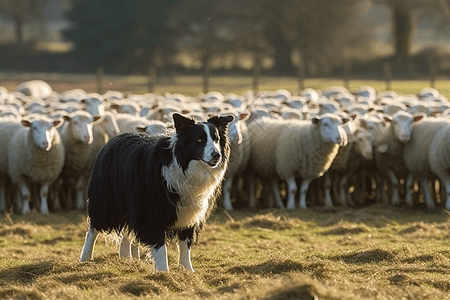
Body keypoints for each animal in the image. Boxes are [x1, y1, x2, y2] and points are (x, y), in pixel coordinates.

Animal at [81, 112, 234, 272]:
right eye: (199, 140)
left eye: (216, 139)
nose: (217, 155)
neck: (184, 167)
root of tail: (113, 140)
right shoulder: (152, 211)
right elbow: (160, 247)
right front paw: (163, 272)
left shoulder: (188, 212)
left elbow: (185, 245)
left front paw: (188, 271)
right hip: (106, 201)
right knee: (93, 229)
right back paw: (85, 259)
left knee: (127, 235)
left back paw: (127, 259)